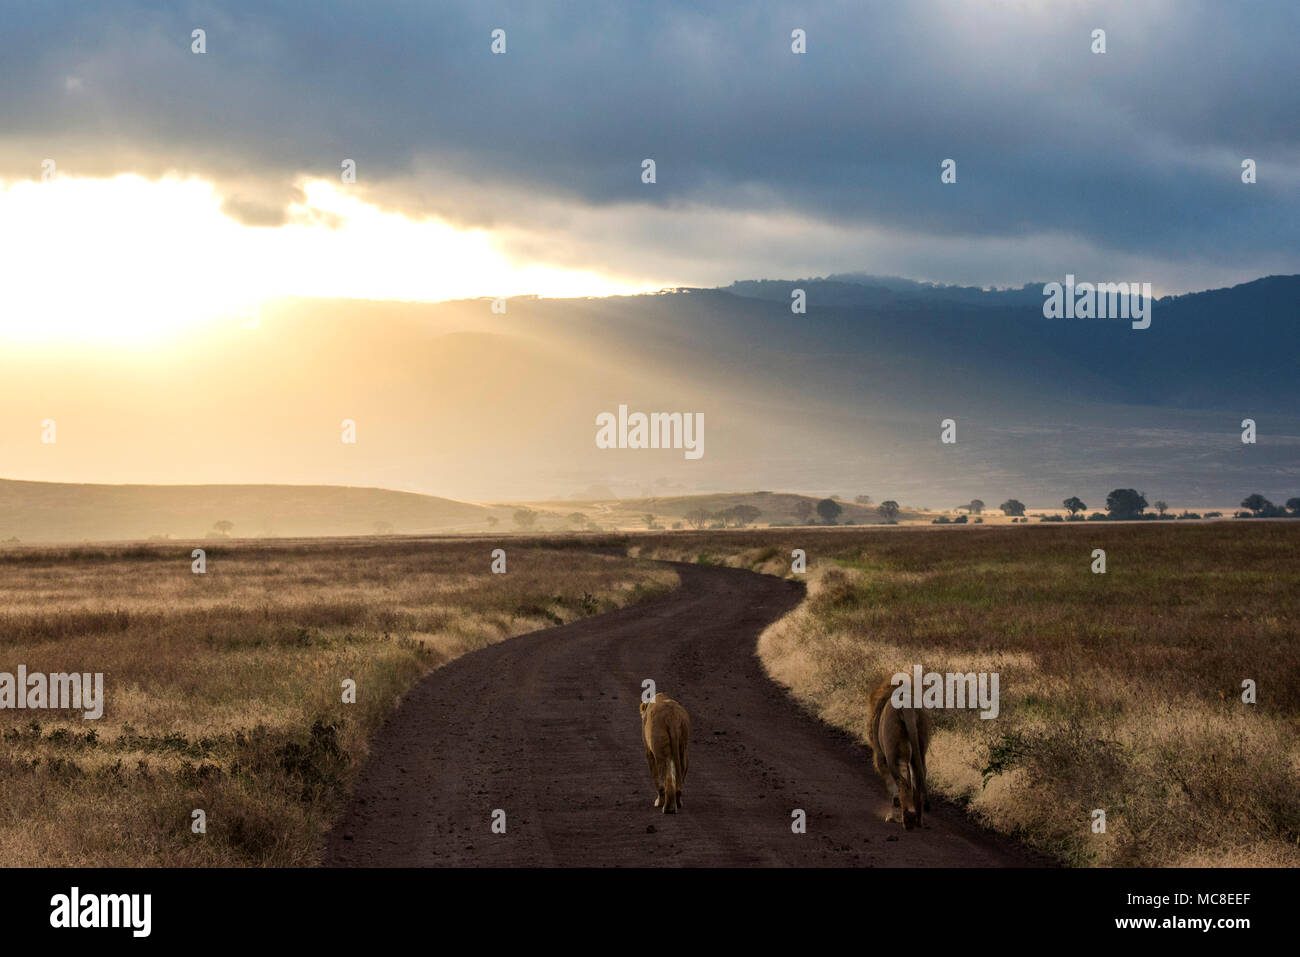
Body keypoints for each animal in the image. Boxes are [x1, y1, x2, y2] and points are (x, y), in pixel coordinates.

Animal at [868, 670, 930, 832]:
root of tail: (907, 707)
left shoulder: (880, 756)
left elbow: (893, 789)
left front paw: (892, 817)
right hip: (920, 747)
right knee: (918, 778)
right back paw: (919, 820)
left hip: (893, 751)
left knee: (903, 781)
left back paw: (908, 819)